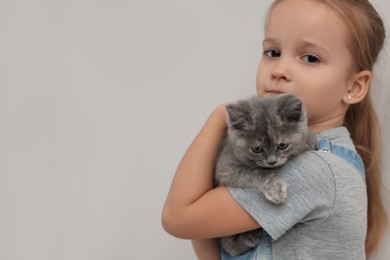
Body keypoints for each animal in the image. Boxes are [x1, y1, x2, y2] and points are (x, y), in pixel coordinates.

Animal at [216, 93, 316, 256]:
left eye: (282, 145)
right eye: (257, 149)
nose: (272, 161)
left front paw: (310, 138)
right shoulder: (226, 168)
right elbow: (258, 171)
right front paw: (275, 189)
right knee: (229, 246)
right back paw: (247, 238)